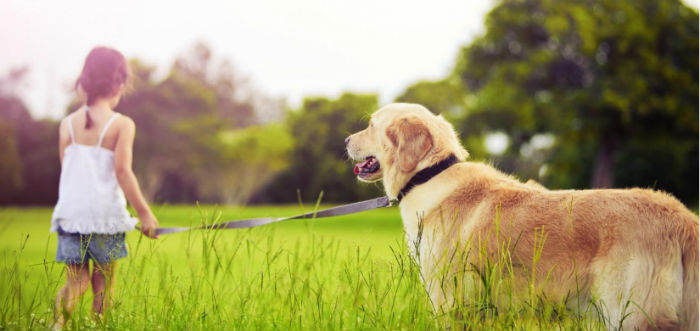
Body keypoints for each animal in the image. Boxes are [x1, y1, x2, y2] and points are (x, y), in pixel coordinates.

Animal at [348, 104, 696, 331]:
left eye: (372, 125)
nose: (346, 140)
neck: (429, 174)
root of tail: (683, 219)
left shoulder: (447, 299)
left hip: (630, 315)